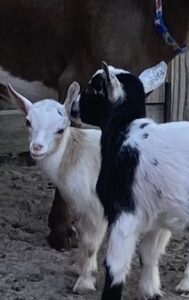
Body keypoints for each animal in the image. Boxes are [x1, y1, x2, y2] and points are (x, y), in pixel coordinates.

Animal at [72, 61, 189, 300]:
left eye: (92, 89)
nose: (73, 108)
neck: (124, 132)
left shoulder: (124, 211)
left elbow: (115, 266)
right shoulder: (157, 216)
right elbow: (149, 255)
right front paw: (150, 291)